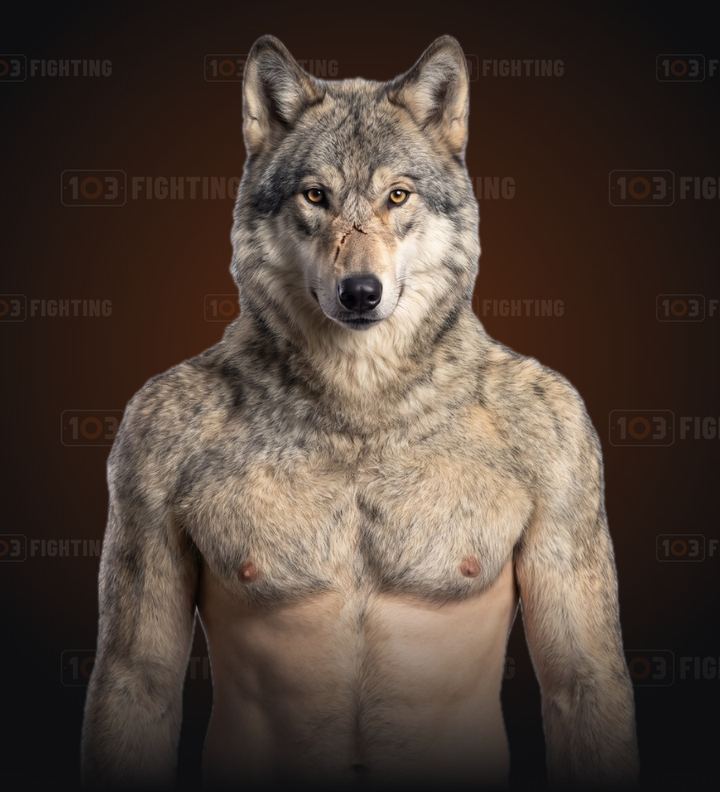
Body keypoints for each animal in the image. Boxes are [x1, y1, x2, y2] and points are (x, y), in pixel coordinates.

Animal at [81, 34, 639, 791]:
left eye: (396, 195)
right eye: (316, 196)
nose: (360, 292)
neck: (359, 399)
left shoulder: (567, 436)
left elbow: (578, 675)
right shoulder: (144, 437)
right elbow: (141, 676)